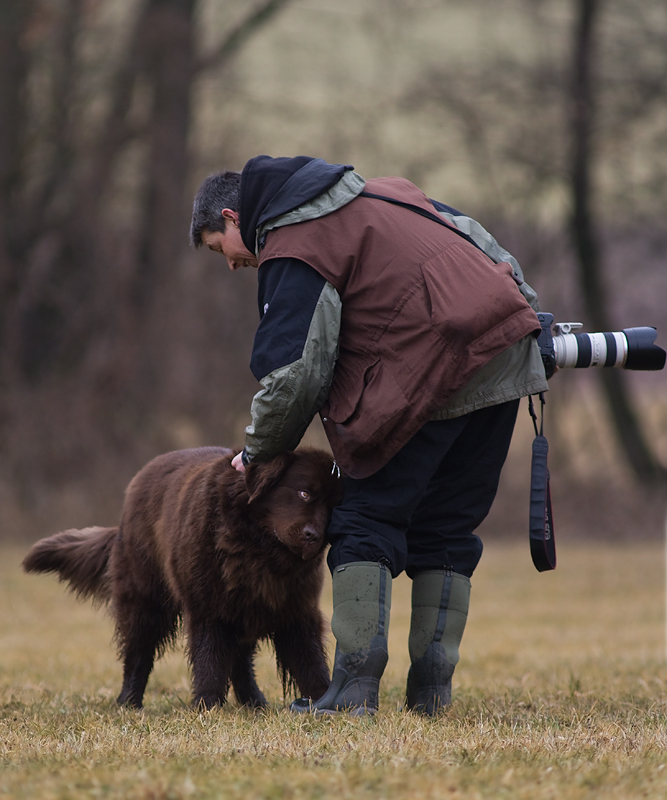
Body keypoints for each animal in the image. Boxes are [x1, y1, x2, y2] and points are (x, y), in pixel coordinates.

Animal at [22, 446, 342, 708]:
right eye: (304, 493)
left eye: (331, 508)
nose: (314, 536)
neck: (259, 549)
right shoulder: (208, 607)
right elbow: (209, 658)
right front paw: (208, 705)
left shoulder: (296, 609)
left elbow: (310, 660)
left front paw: (323, 700)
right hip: (144, 600)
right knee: (138, 652)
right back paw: (128, 702)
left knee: (240, 661)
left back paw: (254, 702)